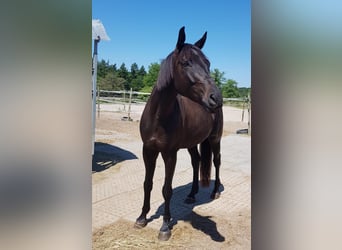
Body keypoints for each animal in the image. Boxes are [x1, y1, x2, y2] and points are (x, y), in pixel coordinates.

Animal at [135, 26, 223, 240]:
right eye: (185, 62)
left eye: (208, 63)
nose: (216, 98)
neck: (158, 116)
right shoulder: (148, 150)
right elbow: (147, 183)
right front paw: (142, 217)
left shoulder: (170, 154)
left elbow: (167, 189)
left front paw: (165, 226)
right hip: (192, 143)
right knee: (196, 161)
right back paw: (191, 195)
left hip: (215, 139)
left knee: (216, 161)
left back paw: (215, 191)